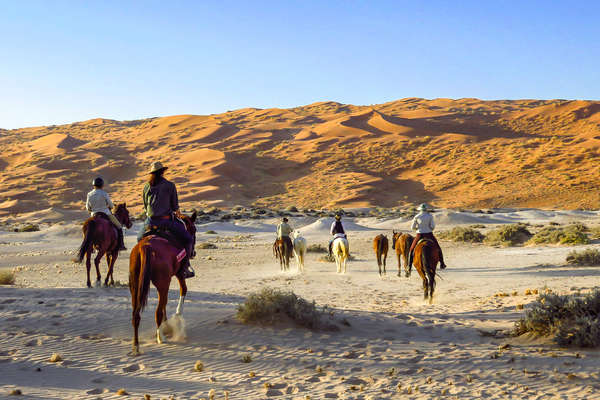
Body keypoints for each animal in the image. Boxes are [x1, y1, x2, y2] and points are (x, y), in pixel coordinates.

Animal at [129, 211, 197, 354]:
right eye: (194, 230)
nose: (193, 253)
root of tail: (146, 246)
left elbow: (166, 302)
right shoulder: (179, 274)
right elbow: (184, 290)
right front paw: (177, 315)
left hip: (135, 285)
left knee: (136, 314)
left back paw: (136, 346)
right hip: (163, 283)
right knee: (158, 312)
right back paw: (160, 338)